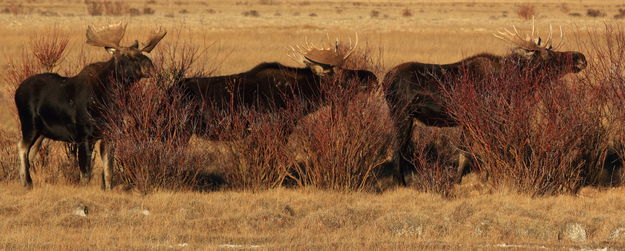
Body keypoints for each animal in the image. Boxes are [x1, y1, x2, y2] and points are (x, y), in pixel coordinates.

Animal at [14, 23, 166, 188]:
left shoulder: (110, 135)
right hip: (29, 124)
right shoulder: (84, 136)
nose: (149, 66)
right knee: (22, 146)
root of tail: (17, 91)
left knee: (31, 151)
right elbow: (85, 173)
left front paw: (107, 189)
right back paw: (27, 181)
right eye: (125, 56)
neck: (110, 99)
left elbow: (108, 171)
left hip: (42, 132)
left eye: (141, 53)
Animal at [382, 23, 588, 184]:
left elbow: (466, 152)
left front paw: (459, 179)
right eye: (549, 56)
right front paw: (479, 178)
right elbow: (475, 151)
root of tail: (385, 80)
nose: (581, 58)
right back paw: (401, 183)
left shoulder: (469, 122)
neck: (511, 84)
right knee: (397, 150)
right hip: (402, 115)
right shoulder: (480, 119)